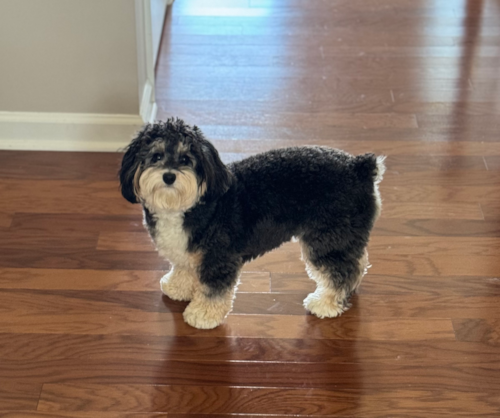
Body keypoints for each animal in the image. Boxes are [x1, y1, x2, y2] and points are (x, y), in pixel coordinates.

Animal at [119, 118, 384, 330]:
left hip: (327, 238)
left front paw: (203, 314)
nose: (169, 176)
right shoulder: (187, 253)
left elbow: (213, 290)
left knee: (340, 271)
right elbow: (184, 269)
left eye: (186, 159)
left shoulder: (219, 259)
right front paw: (177, 287)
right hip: (346, 235)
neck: (189, 206)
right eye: (156, 156)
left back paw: (325, 303)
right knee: (357, 262)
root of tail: (359, 168)